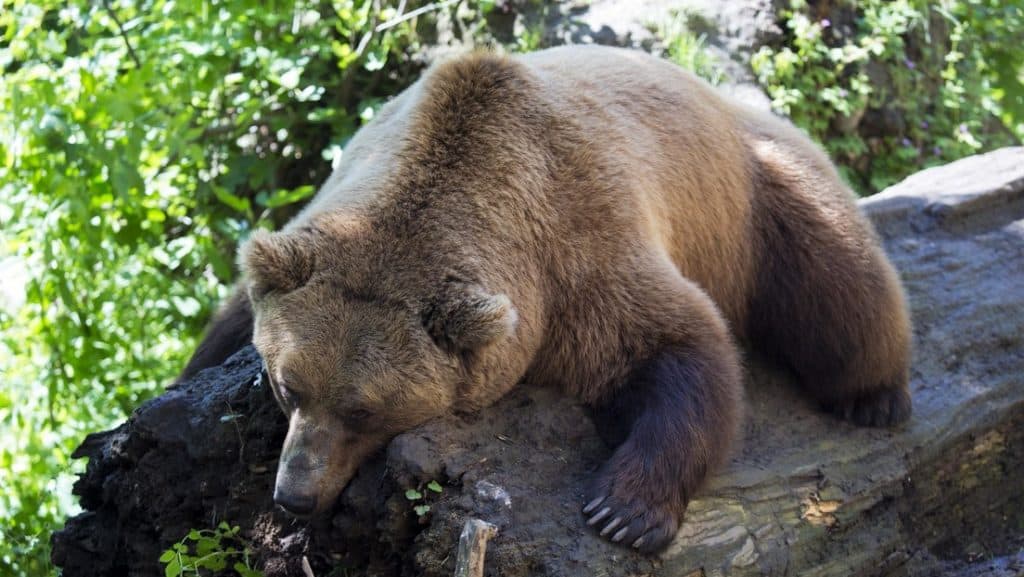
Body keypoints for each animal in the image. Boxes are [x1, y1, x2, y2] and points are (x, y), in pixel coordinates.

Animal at [178, 45, 912, 553]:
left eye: (365, 409)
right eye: (287, 386)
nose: (295, 495)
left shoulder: (577, 253)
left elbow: (680, 344)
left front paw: (625, 511)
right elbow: (226, 325)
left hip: (759, 196)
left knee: (841, 291)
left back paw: (875, 398)